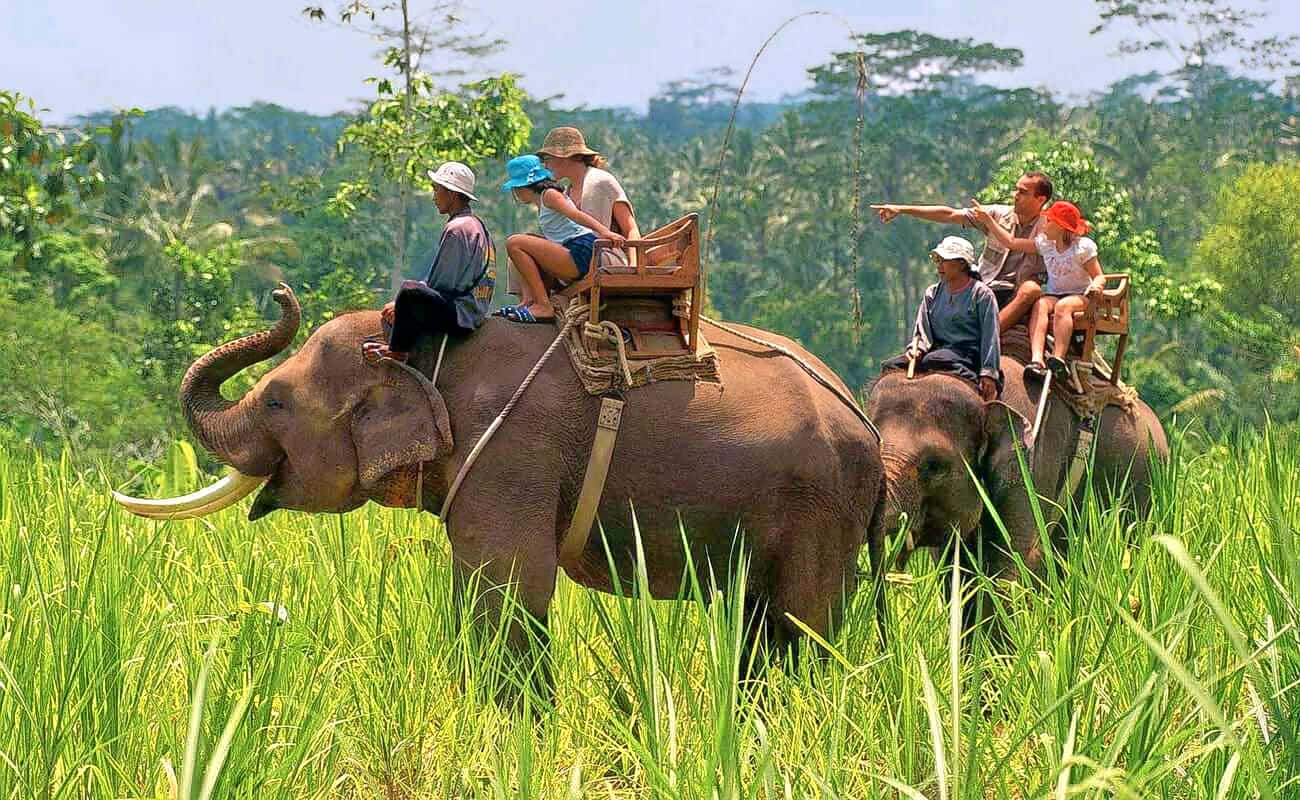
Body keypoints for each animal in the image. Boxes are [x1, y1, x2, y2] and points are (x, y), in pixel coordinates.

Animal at [115, 285, 886, 676]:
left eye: (275, 401)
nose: (278, 292)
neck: (425, 350)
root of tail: (866, 425)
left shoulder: (511, 451)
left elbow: (510, 587)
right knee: (763, 622)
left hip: (819, 504)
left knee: (798, 624)